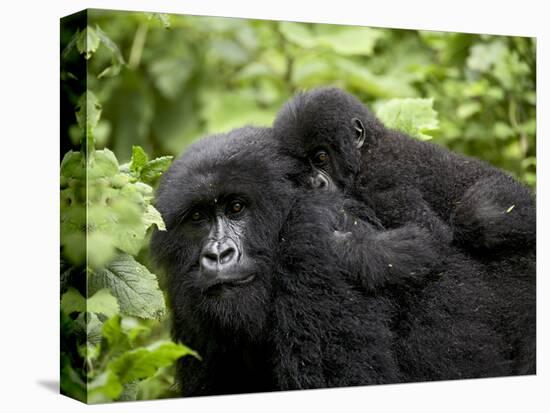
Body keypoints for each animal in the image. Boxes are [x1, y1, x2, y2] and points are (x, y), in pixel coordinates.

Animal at [274, 87, 536, 251]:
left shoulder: (380, 180)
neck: (368, 150)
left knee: (478, 215)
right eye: (301, 169)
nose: (315, 183)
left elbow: (432, 235)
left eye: (320, 158)